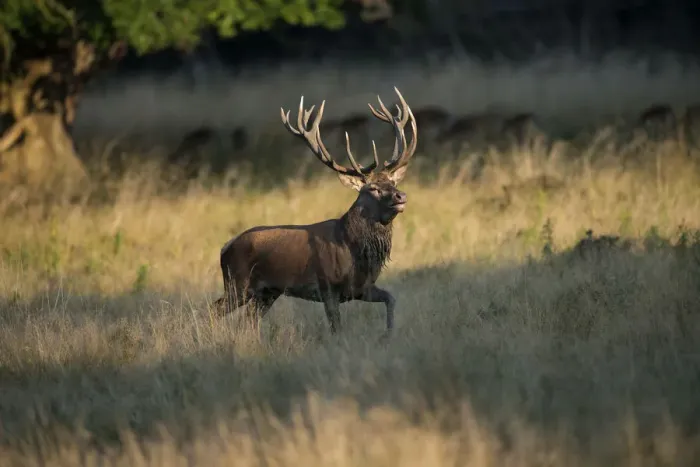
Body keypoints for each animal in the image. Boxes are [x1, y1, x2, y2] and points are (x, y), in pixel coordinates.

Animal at [213, 87, 417, 336]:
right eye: (374, 189)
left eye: (393, 183)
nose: (401, 196)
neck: (353, 248)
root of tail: (225, 247)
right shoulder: (327, 287)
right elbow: (336, 328)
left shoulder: (362, 288)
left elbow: (391, 298)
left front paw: (387, 335)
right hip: (238, 283)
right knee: (214, 310)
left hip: (267, 292)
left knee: (249, 321)